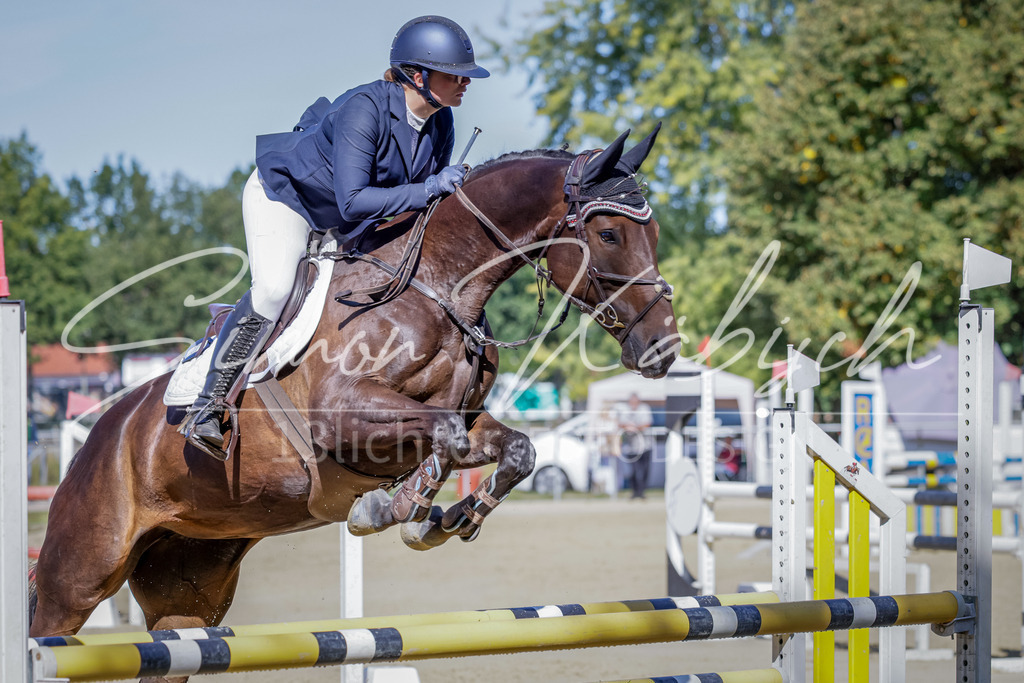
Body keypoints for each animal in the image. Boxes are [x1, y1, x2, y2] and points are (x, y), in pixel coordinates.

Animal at [29, 127, 679, 656]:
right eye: (609, 233)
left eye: (651, 230)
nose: (663, 348)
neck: (437, 287)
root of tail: (97, 438)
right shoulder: (341, 415)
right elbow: (441, 438)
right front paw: (394, 510)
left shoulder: (462, 418)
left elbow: (513, 448)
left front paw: (443, 518)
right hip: (80, 573)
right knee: (49, 625)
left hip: (190, 586)